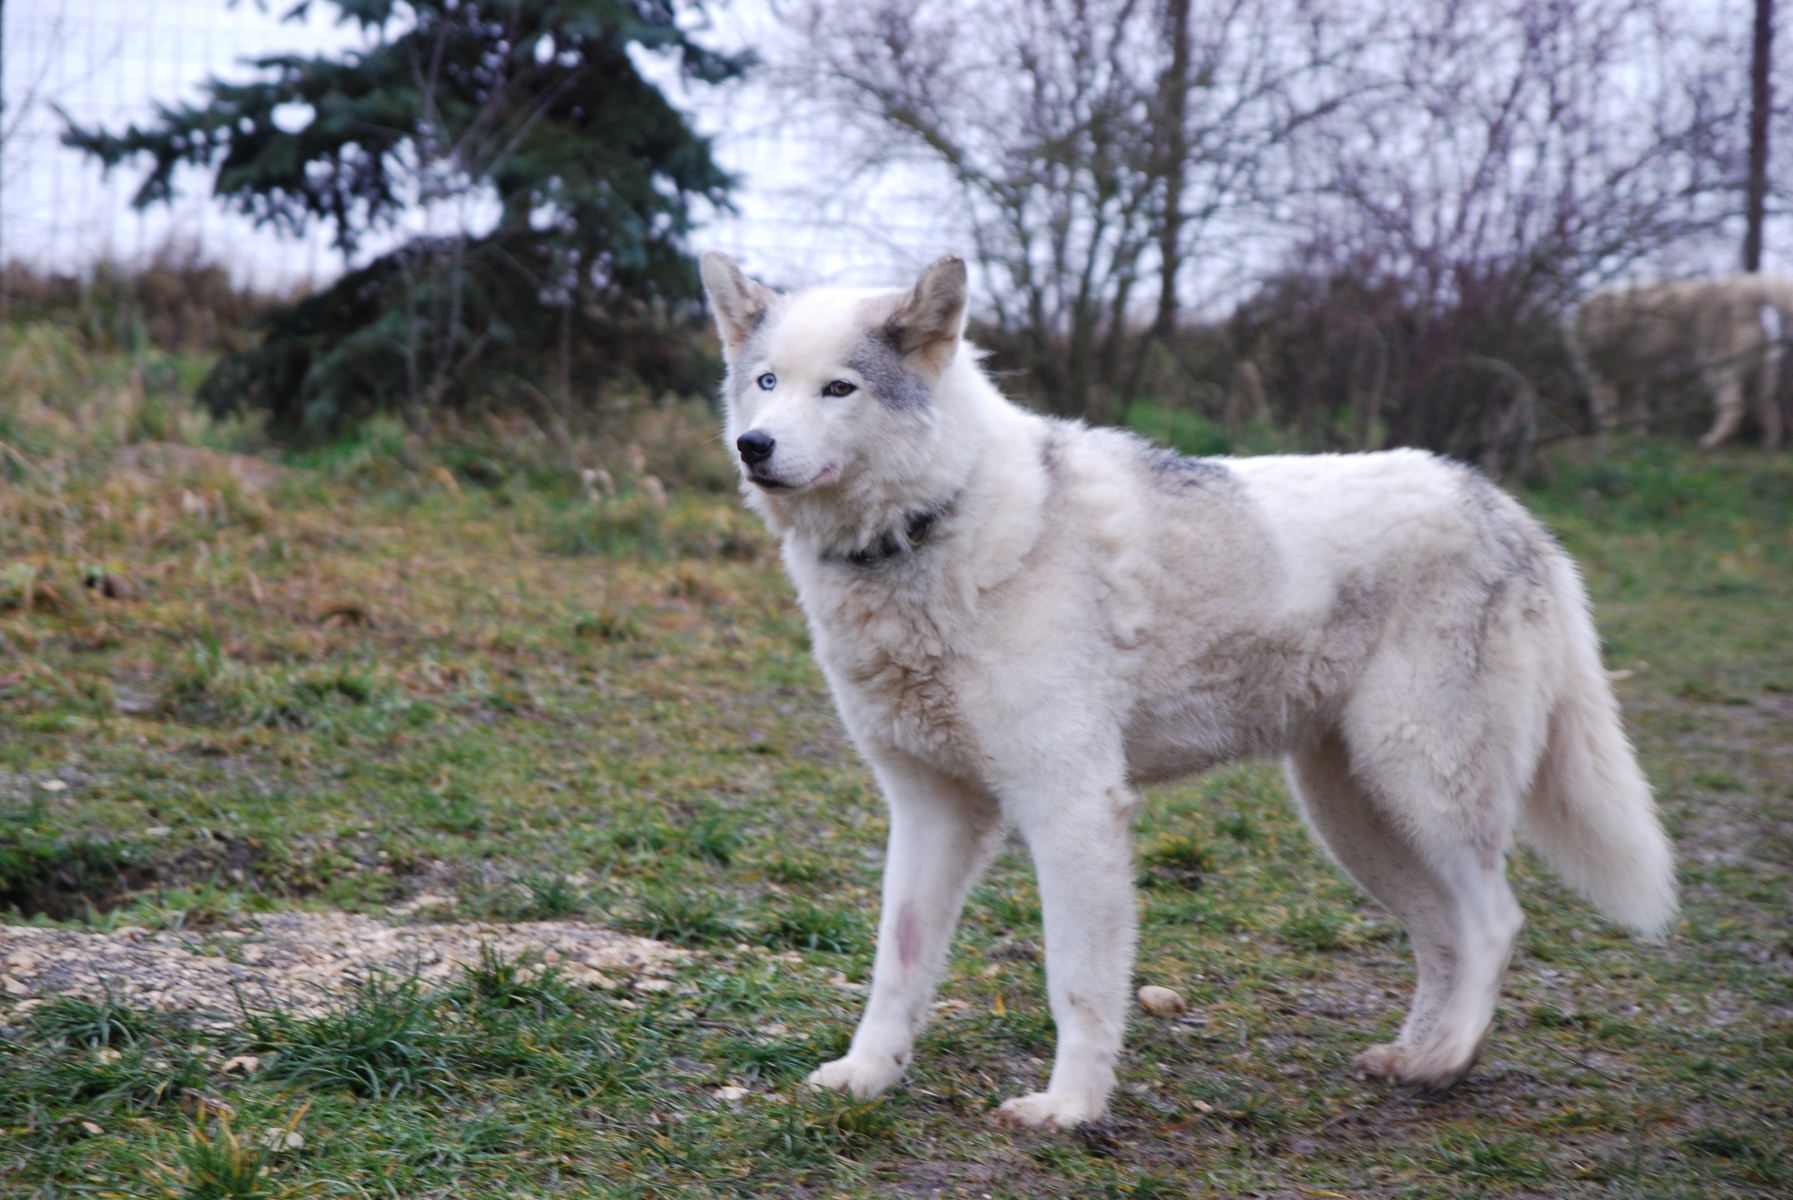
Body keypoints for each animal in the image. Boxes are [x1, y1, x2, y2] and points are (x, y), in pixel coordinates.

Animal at [701, 252, 1676, 1130]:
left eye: (839, 389)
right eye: (765, 382)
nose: (754, 447)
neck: (933, 524)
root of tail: (1506, 509)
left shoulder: (1072, 808)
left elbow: (1077, 981)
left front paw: (1069, 1109)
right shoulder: (928, 809)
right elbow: (896, 966)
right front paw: (866, 1077)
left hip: (1421, 787)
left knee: (1495, 922)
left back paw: (1445, 1058)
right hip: (1352, 815)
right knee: (1442, 934)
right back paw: (1415, 1056)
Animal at [1567, 274, 1793, 449]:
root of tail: (1743, 292)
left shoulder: (1601, 377)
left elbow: (1606, 413)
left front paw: (1609, 436)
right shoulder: (1633, 379)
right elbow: (1635, 413)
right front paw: (1634, 436)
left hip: (1717, 369)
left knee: (1734, 410)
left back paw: (1711, 441)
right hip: (1759, 376)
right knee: (1769, 410)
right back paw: (1768, 446)